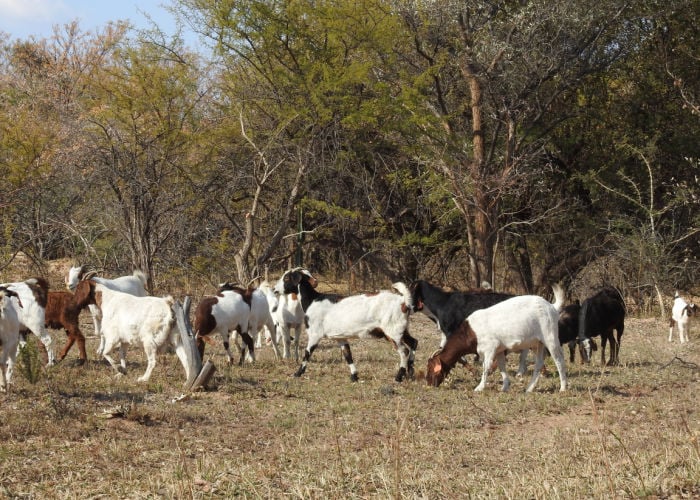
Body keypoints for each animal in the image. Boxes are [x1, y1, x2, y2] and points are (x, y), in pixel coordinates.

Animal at [274, 270, 418, 382]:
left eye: (286, 278)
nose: (275, 289)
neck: (312, 300)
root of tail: (403, 302)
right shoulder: (340, 337)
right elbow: (348, 355)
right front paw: (354, 376)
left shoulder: (315, 334)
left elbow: (307, 353)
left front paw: (297, 373)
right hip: (402, 329)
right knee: (414, 342)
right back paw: (410, 371)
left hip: (392, 331)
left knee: (404, 350)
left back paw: (399, 377)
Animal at [426, 284, 568, 392]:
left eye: (431, 368)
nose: (428, 383)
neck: (470, 332)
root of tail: (552, 307)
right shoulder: (499, 350)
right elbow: (501, 367)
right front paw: (504, 387)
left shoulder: (490, 348)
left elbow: (486, 367)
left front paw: (479, 388)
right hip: (537, 344)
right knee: (538, 363)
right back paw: (529, 389)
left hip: (550, 338)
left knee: (559, 360)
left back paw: (563, 388)